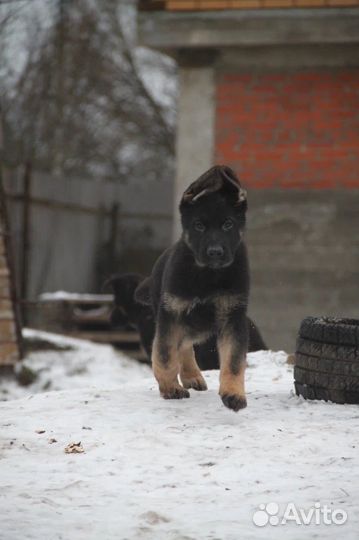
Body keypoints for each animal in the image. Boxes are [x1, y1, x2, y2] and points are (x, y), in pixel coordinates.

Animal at [136, 167, 252, 412]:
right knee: (182, 347)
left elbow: (234, 361)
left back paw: (192, 375)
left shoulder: (234, 318)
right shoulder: (171, 313)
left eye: (228, 224)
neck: (208, 275)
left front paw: (233, 393)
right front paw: (170, 388)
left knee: (186, 346)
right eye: (199, 225)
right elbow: (165, 355)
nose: (215, 252)